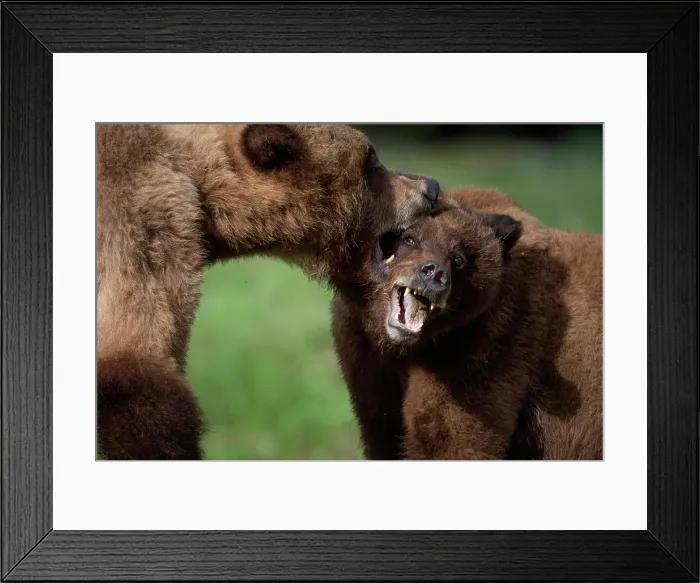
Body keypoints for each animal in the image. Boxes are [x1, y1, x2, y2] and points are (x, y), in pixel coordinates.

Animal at [331, 186, 602, 460]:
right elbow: (382, 432)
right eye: (409, 238)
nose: (434, 273)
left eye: (458, 258)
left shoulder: (484, 347)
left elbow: (450, 438)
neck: (404, 348)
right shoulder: (363, 355)